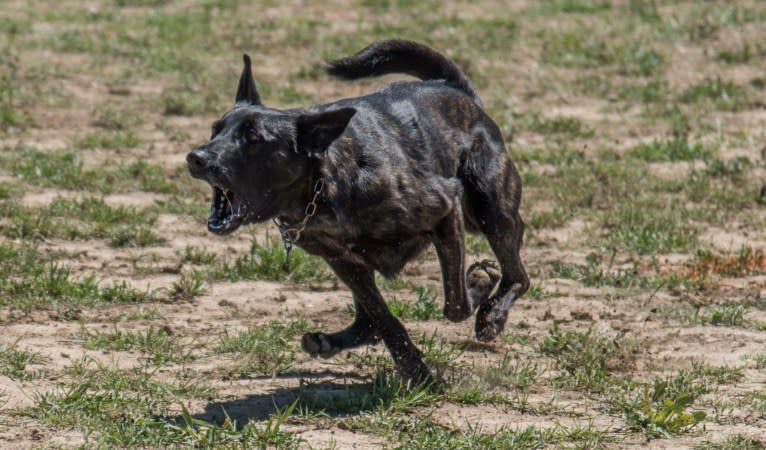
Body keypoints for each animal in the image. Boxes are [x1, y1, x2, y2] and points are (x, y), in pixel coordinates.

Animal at [189, 40, 532, 384]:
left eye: (254, 138)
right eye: (215, 130)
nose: (196, 157)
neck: (324, 183)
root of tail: (455, 89)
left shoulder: (446, 207)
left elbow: (456, 302)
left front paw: (479, 284)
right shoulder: (343, 261)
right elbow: (384, 319)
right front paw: (415, 372)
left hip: (490, 209)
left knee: (518, 276)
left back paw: (493, 314)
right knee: (368, 323)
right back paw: (329, 341)